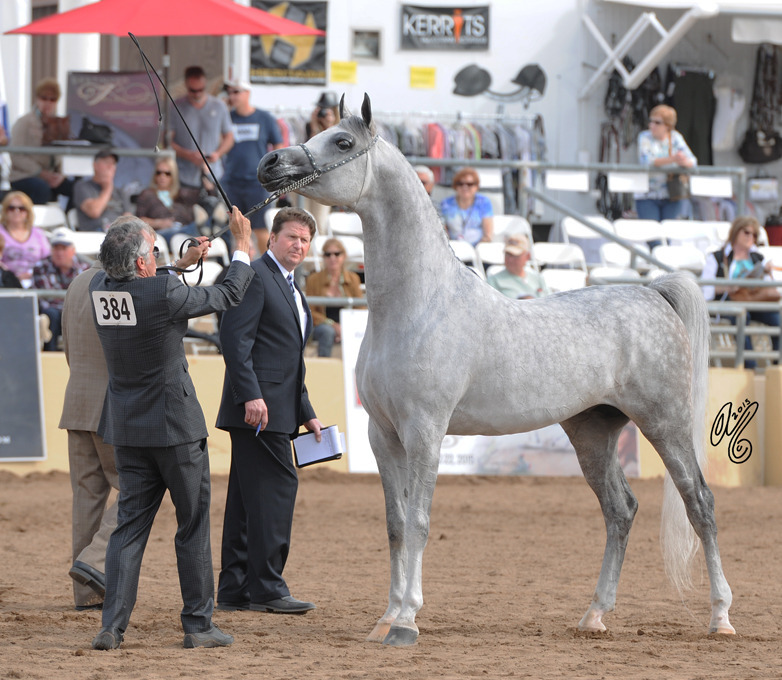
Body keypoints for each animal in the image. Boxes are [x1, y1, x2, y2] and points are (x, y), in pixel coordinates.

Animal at [257, 94, 735, 646]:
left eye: (341, 141)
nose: (269, 163)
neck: (419, 303)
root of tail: (651, 292)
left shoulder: (425, 431)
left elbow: (419, 522)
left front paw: (407, 620)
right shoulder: (383, 434)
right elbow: (396, 525)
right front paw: (385, 618)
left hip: (666, 424)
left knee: (700, 503)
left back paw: (721, 617)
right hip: (592, 432)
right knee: (621, 510)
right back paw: (594, 614)